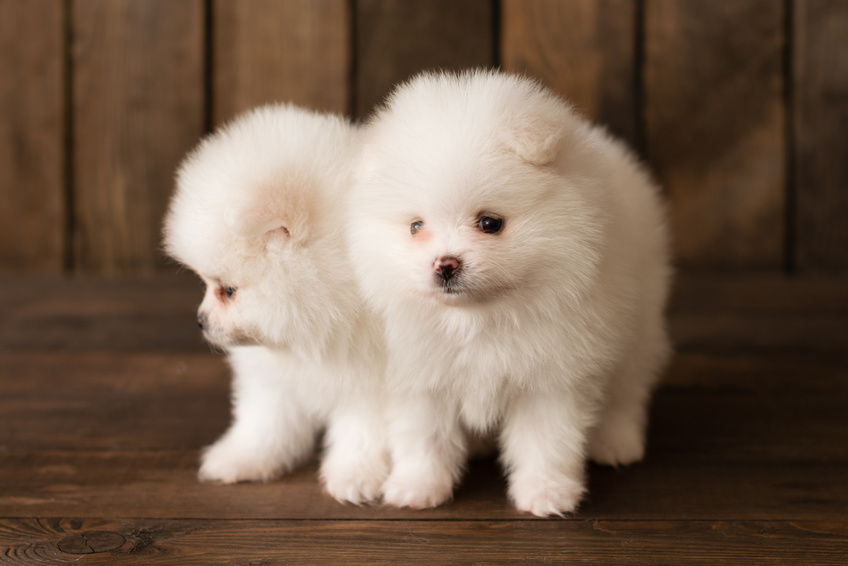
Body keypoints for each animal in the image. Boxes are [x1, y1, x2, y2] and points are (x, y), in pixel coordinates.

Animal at [162, 104, 388, 504]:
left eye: (229, 290)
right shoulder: (275, 377)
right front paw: (242, 459)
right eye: (206, 284)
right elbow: (266, 422)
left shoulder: (373, 383)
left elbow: (364, 433)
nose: (201, 320)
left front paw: (356, 477)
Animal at [348, 71, 672, 520]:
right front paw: (418, 487)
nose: (445, 264)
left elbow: (546, 439)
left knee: (628, 388)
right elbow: (423, 437)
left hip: (637, 322)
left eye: (490, 223)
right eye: (415, 226)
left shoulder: (552, 376)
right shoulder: (419, 374)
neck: (479, 316)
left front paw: (545, 493)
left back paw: (616, 441)